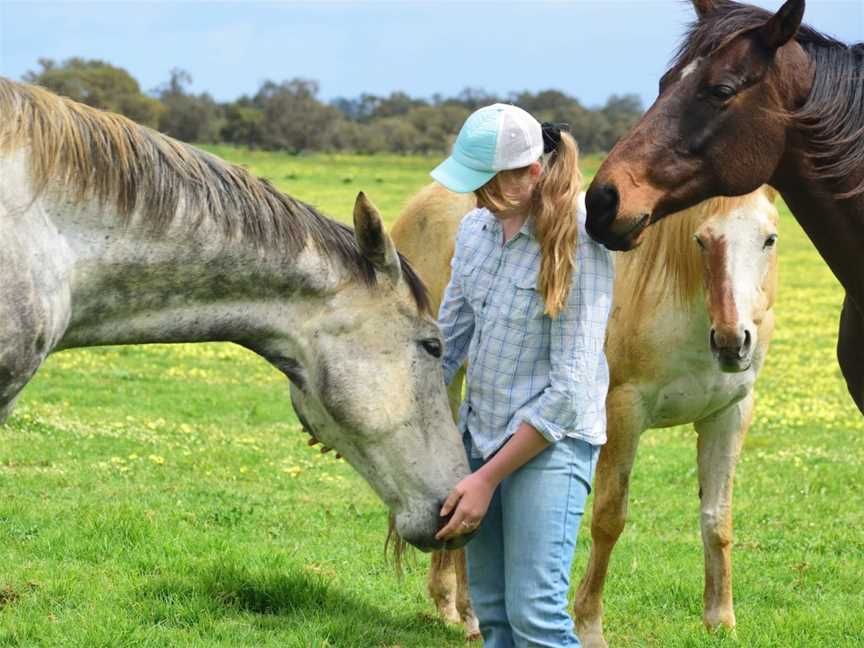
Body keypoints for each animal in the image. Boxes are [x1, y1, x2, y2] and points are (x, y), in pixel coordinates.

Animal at [388, 182, 780, 644]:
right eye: (701, 240)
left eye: (769, 239)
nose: (733, 341)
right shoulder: (624, 412)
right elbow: (609, 519)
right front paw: (589, 624)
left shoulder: (728, 415)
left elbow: (717, 519)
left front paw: (720, 620)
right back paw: (469, 616)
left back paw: (449, 603)